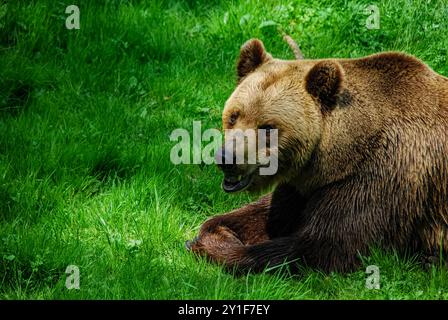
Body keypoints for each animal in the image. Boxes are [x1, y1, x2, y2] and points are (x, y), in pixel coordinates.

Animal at [186, 37, 448, 272]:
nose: (227, 159)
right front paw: (213, 233)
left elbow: (322, 245)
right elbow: (261, 215)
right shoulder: (303, 187)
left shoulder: (381, 179)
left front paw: (216, 249)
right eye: (234, 115)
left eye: (267, 127)